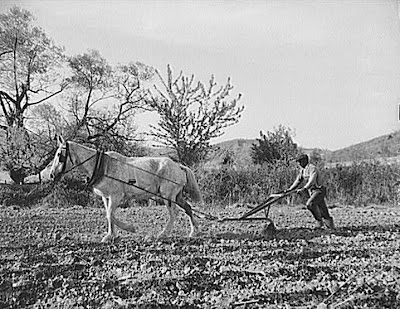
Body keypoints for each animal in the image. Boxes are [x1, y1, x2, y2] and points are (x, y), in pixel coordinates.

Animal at [49, 136, 203, 242]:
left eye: (59, 155)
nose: (51, 175)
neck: (103, 166)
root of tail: (179, 166)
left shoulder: (116, 196)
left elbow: (110, 214)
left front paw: (130, 228)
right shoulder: (106, 197)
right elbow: (109, 215)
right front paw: (110, 236)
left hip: (168, 195)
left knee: (174, 213)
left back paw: (163, 234)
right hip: (177, 195)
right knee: (188, 208)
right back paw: (193, 232)